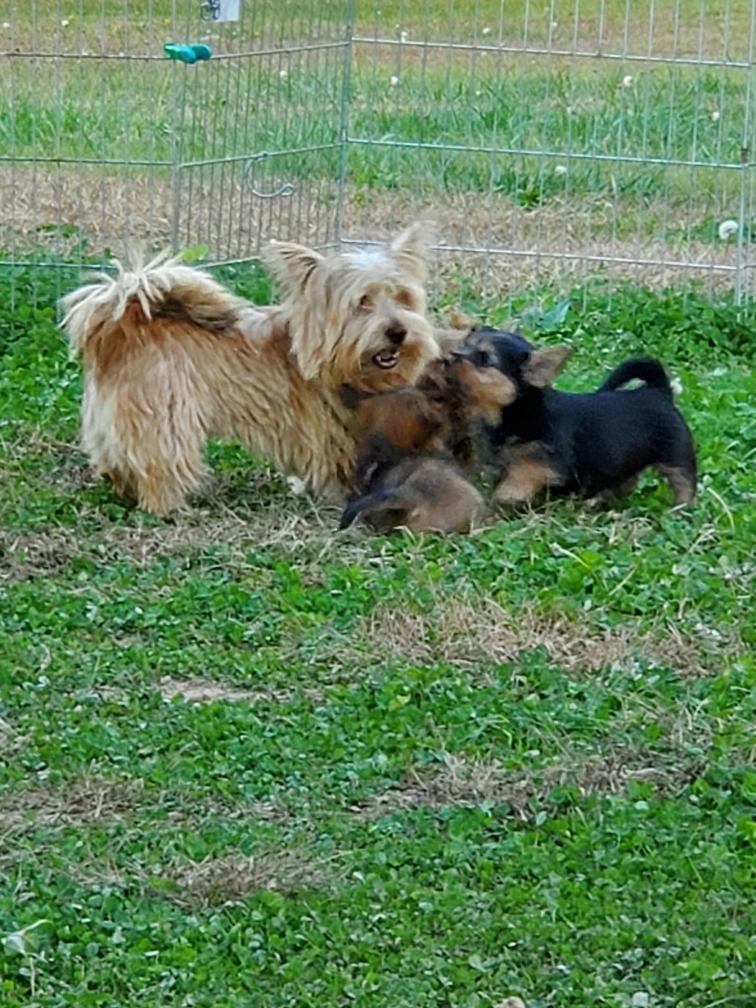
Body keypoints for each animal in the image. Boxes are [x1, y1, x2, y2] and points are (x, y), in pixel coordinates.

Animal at [59, 224, 440, 515]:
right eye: (362, 303)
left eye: (403, 298)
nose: (397, 332)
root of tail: (122, 324)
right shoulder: (325, 432)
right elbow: (332, 465)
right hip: (165, 422)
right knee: (159, 467)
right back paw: (169, 508)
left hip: (109, 422)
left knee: (114, 459)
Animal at [450, 326, 697, 507]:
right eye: (464, 343)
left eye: (484, 358)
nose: (452, 355)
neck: (517, 411)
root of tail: (658, 390)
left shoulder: (549, 462)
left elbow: (522, 473)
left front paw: (505, 496)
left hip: (676, 455)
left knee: (684, 482)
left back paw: (680, 509)